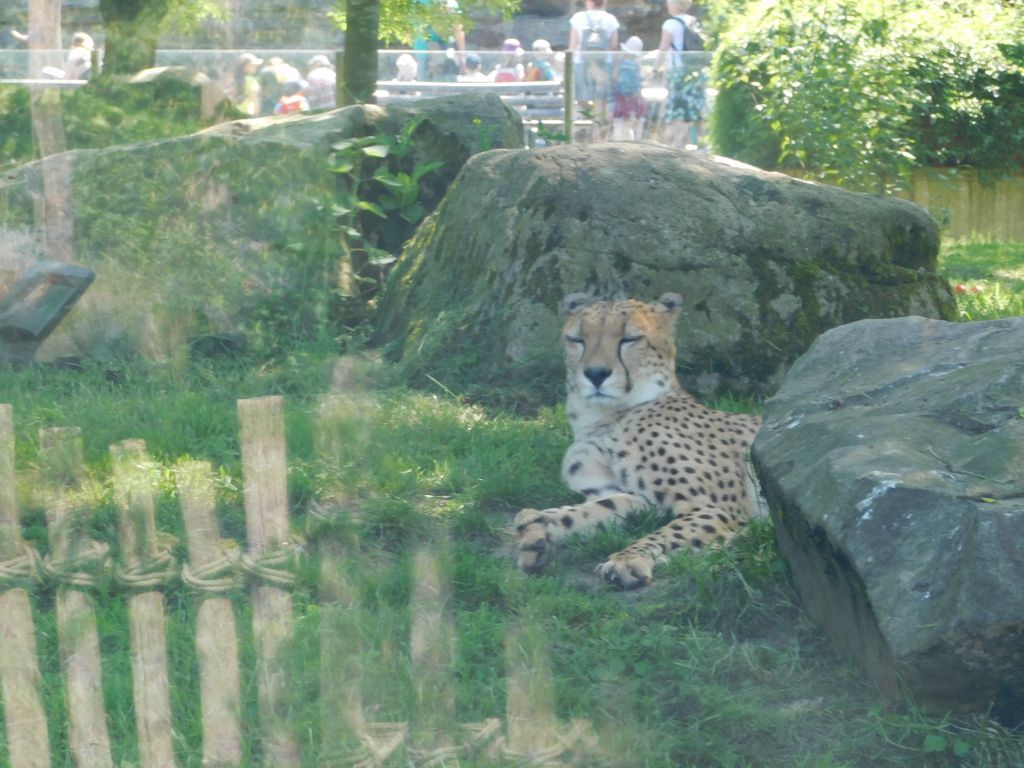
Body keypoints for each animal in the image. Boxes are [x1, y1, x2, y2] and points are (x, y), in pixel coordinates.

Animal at [516, 292, 765, 589]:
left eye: (629, 339)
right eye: (578, 339)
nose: (596, 373)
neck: (604, 420)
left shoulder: (717, 509)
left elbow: (670, 533)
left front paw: (628, 559)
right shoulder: (639, 499)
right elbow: (601, 507)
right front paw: (540, 525)